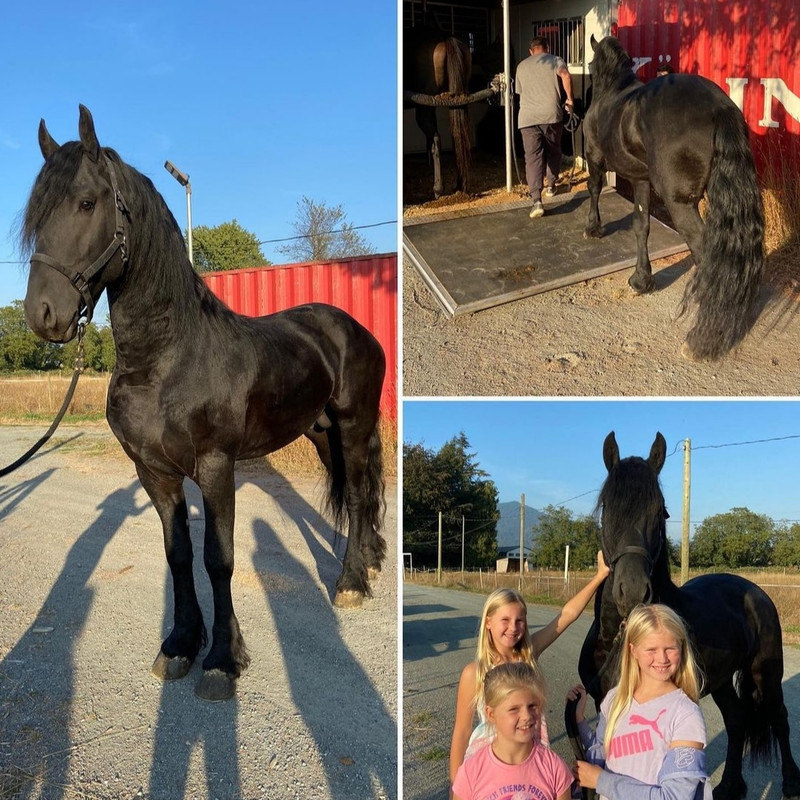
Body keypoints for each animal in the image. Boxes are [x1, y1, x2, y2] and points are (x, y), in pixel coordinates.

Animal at [20, 105, 388, 702]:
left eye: (86, 202)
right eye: (36, 213)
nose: (42, 313)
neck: (168, 358)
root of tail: (351, 327)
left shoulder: (216, 467)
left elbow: (220, 558)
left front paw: (221, 657)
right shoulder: (154, 472)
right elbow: (179, 555)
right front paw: (179, 645)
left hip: (354, 425)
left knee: (356, 496)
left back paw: (351, 583)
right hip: (322, 433)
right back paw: (371, 561)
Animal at [404, 23, 472, 198]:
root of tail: (445, 37)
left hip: (424, 107)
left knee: (435, 139)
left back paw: (437, 189)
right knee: (457, 136)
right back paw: (460, 185)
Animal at [566, 431, 800, 800]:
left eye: (661, 512)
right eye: (606, 507)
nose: (634, 591)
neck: (618, 636)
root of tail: (755, 591)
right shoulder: (602, 702)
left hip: (766, 672)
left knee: (779, 716)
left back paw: (790, 782)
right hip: (721, 680)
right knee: (737, 720)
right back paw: (730, 786)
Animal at [583, 36, 764, 361]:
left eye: (589, 66)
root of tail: (718, 106)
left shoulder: (595, 158)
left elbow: (593, 189)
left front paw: (594, 228)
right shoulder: (640, 179)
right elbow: (641, 225)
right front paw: (641, 281)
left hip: (680, 204)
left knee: (707, 252)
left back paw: (700, 337)